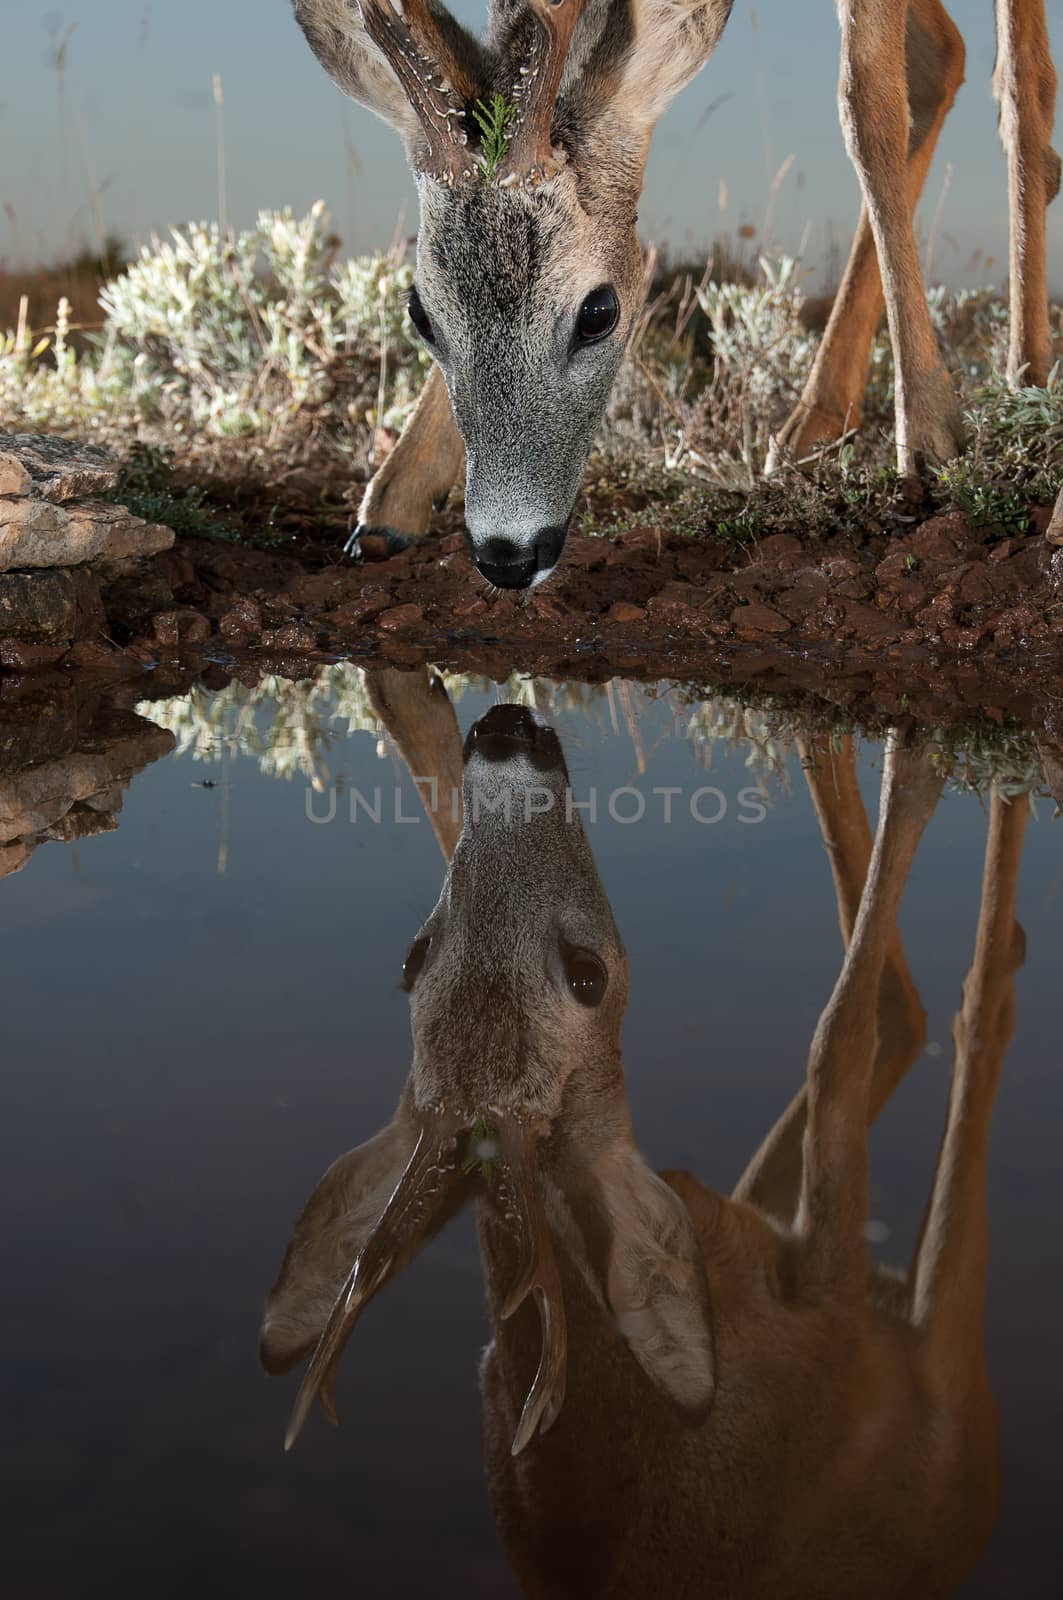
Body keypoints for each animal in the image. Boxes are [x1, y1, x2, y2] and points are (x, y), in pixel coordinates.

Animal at [259, 707, 1030, 1593]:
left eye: (411, 955)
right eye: (587, 974)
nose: (505, 727)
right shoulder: (837, 1316)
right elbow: (840, 1038)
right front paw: (918, 767)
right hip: (950, 1421)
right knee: (957, 1018)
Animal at [291, 0, 1056, 588]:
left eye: (599, 313)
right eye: (420, 314)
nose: (507, 555)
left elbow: (865, 105)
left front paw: (927, 434)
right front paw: (394, 495)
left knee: (1018, 81)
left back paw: (1024, 372)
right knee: (943, 53)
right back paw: (812, 422)